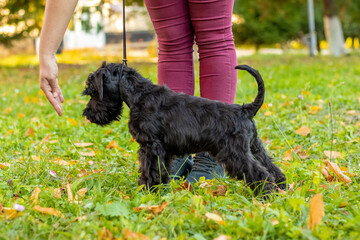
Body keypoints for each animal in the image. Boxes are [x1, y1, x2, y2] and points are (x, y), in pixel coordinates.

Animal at [83, 62, 286, 196]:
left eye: (92, 91)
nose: (87, 113)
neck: (140, 95)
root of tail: (245, 109)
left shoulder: (150, 147)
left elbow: (150, 170)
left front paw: (147, 190)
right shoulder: (164, 150)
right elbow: (162, 170)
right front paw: (161, 189)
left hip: (235, 153)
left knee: (260, 172)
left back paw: (266, 194)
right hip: (254, 146)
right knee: (271, 167)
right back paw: (282, 187)